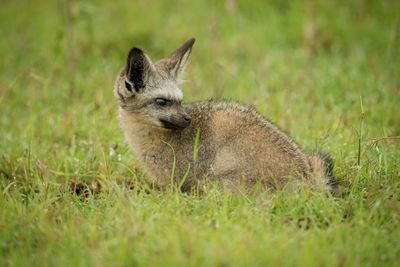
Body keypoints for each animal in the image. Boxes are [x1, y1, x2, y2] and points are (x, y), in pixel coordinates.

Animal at [113, 37, 338, 196]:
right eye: (162, 101)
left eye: (180, 101)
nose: (188, 119)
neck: (149, 139)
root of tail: (309, 180)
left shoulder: (180, 184)